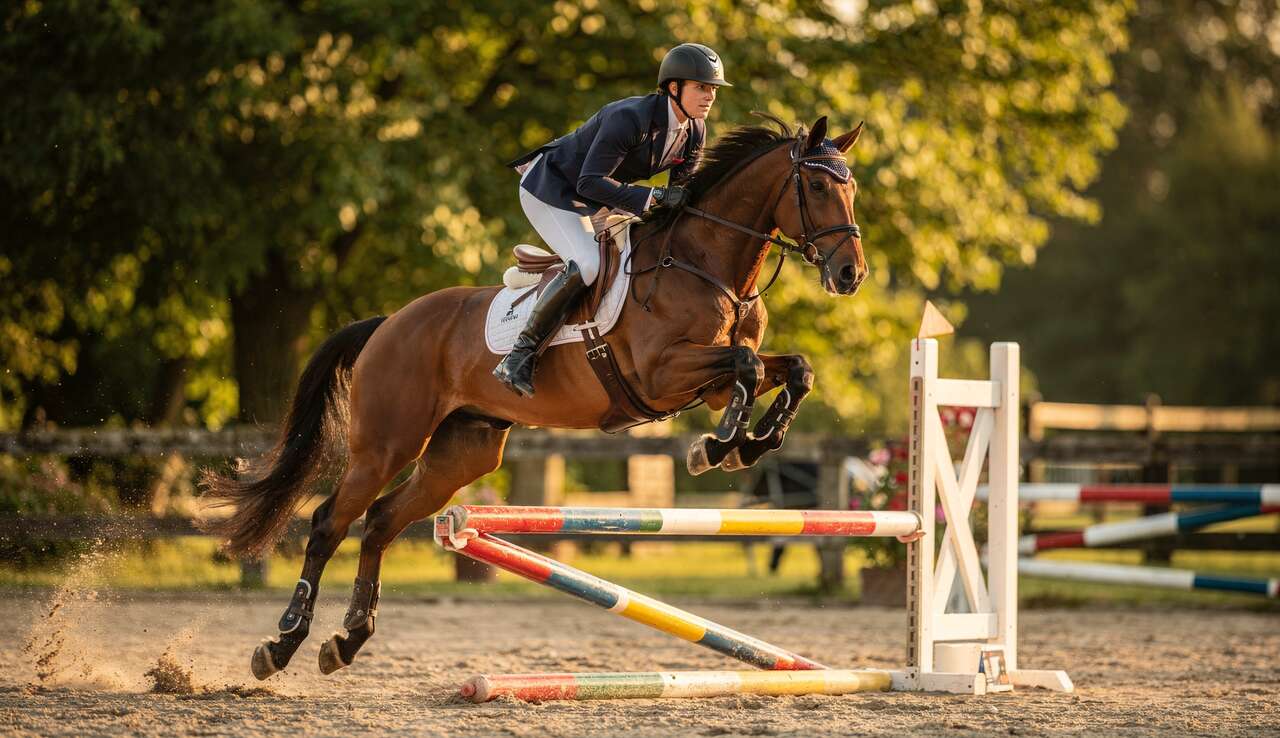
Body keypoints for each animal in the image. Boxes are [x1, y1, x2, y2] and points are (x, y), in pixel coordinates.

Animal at [201, 113, 867, 680]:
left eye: (853, 188)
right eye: (816, 186)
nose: (850, 275)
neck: (707, 264)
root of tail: (390, 322)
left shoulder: (707, 384)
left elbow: (793, 370)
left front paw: (748, 445)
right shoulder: (662, 374)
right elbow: (749, 366)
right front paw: (721, 445)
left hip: (463, 451)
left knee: (382, 522)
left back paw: (347, 641)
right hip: (387, 444)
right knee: (328, 524)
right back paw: (281, 644)